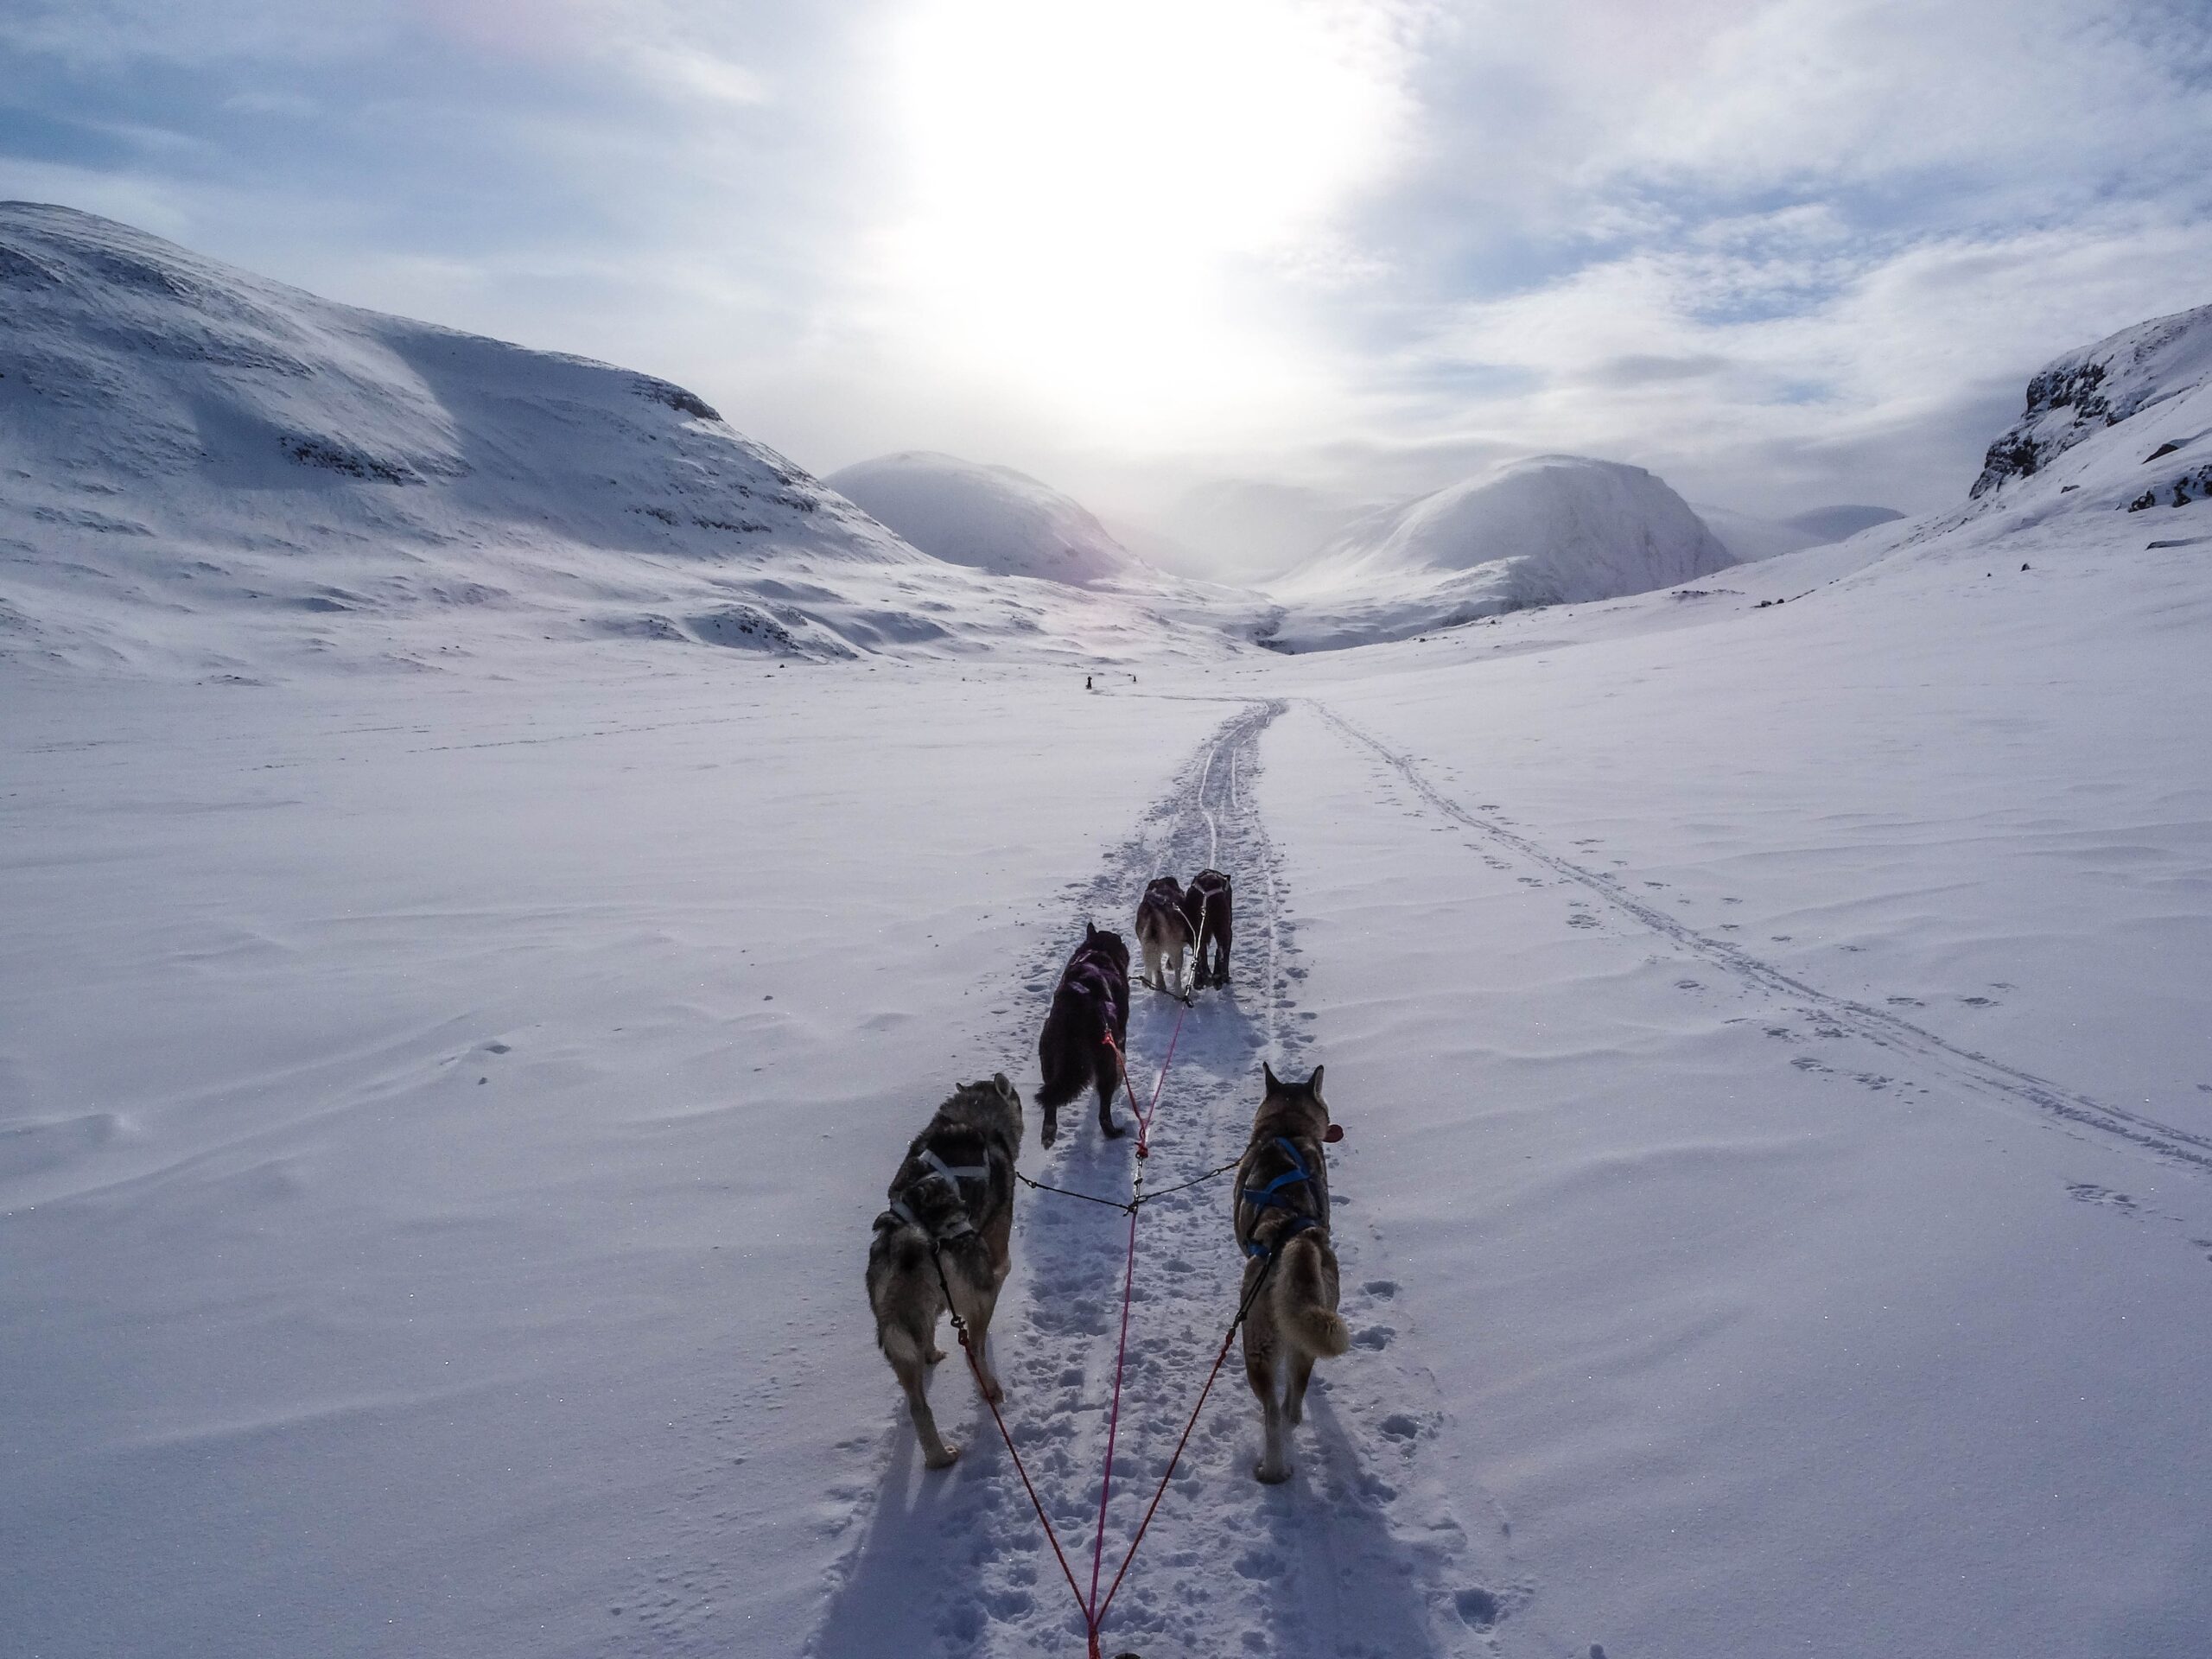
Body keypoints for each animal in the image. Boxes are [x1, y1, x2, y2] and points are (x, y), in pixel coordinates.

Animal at [871, 1079, 1026, 1468]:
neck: (973, 1114)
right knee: (975, 1349)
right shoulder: (997, 1249)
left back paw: (939, 1456)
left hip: (897, 1334)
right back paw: (991, 1389)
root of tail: (909, 1237)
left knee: (918, 1406)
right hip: (980, 1296)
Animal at [1035, 929, 1132, 1150]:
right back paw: (1114, 1132)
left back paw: (1048, 1132)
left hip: (1048, 1061)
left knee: (1050, 1100)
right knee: (1104, 1113)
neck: (1097, 951)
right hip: (1105, 1061)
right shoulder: (1120, 1038)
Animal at [1141, 875, 1194, 995]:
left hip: (1148, 943)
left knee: (1156, 968)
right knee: (1177, 973)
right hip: (1175, 950)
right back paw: (1179, 991)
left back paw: (1158, 984)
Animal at [1185, 871, 1238, 986]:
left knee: (1199, 956)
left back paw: (1200, 981)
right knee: (1221, 954)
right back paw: (1221, 978)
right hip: (1224, 930)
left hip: (1194, 933)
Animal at [1230, 1071, 1344, 1486]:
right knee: (1292, 1403)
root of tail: (1297, 1239)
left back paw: (1272, 1470)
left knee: (1273, 1415)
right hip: (1314, 1326)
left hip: (1256, 1345)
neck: (1286, 1129)